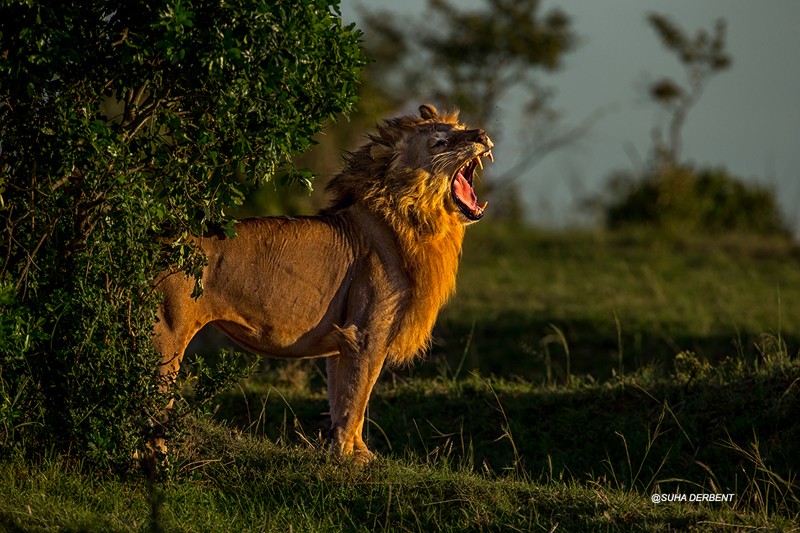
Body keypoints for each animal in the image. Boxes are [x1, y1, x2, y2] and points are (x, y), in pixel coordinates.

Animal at [154, 105, 494, 462]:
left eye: (460, 129)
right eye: (441, 141)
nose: (482, 135)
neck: (416, 222)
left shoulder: (342, 341)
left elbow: (341, 398)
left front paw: (355, 451)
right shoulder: (365, 336)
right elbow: (357, 397)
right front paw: (348, 457)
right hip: (167, 334)